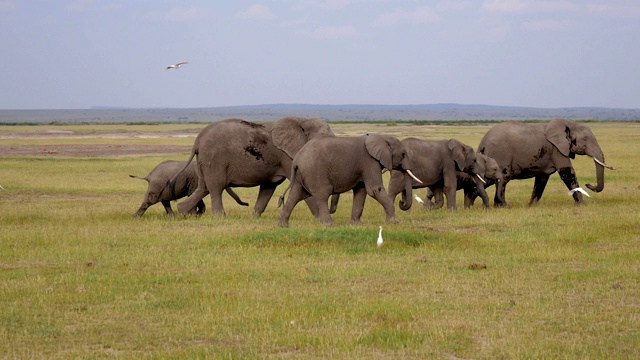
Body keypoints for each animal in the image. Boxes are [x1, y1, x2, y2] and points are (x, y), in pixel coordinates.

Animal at [175, 117, 336, 217]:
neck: (302, 120)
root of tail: (197, 140)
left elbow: (268, 188)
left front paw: (255, 216)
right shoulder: (287, 156)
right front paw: (318, 218)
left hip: (205, 161)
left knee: (203, 188)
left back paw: (182, 211)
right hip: (214, 159)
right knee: (216, 187)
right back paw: (220, 217)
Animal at [278, 134, 422, 226]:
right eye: (403, 154)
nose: (402, 202)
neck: (381, 137)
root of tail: (297, 160)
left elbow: (361, 191)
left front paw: (357, 224)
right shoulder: (370, 162)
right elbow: (375, 190)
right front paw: (394, 222)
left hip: (302, 174)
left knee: (295, 195)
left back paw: (282, 225)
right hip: (315, 171)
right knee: (322, 195)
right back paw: (329, 224)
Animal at [478, 119, 612, 207]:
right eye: (585, 140)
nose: (588, 184)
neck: (567, 122)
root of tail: (483, 143)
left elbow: (542, 179)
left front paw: (531, 206)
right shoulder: (557, 149)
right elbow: (567, 172)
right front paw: (582, 205)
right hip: (501, 155)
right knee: (502, 179)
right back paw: (503, 206)